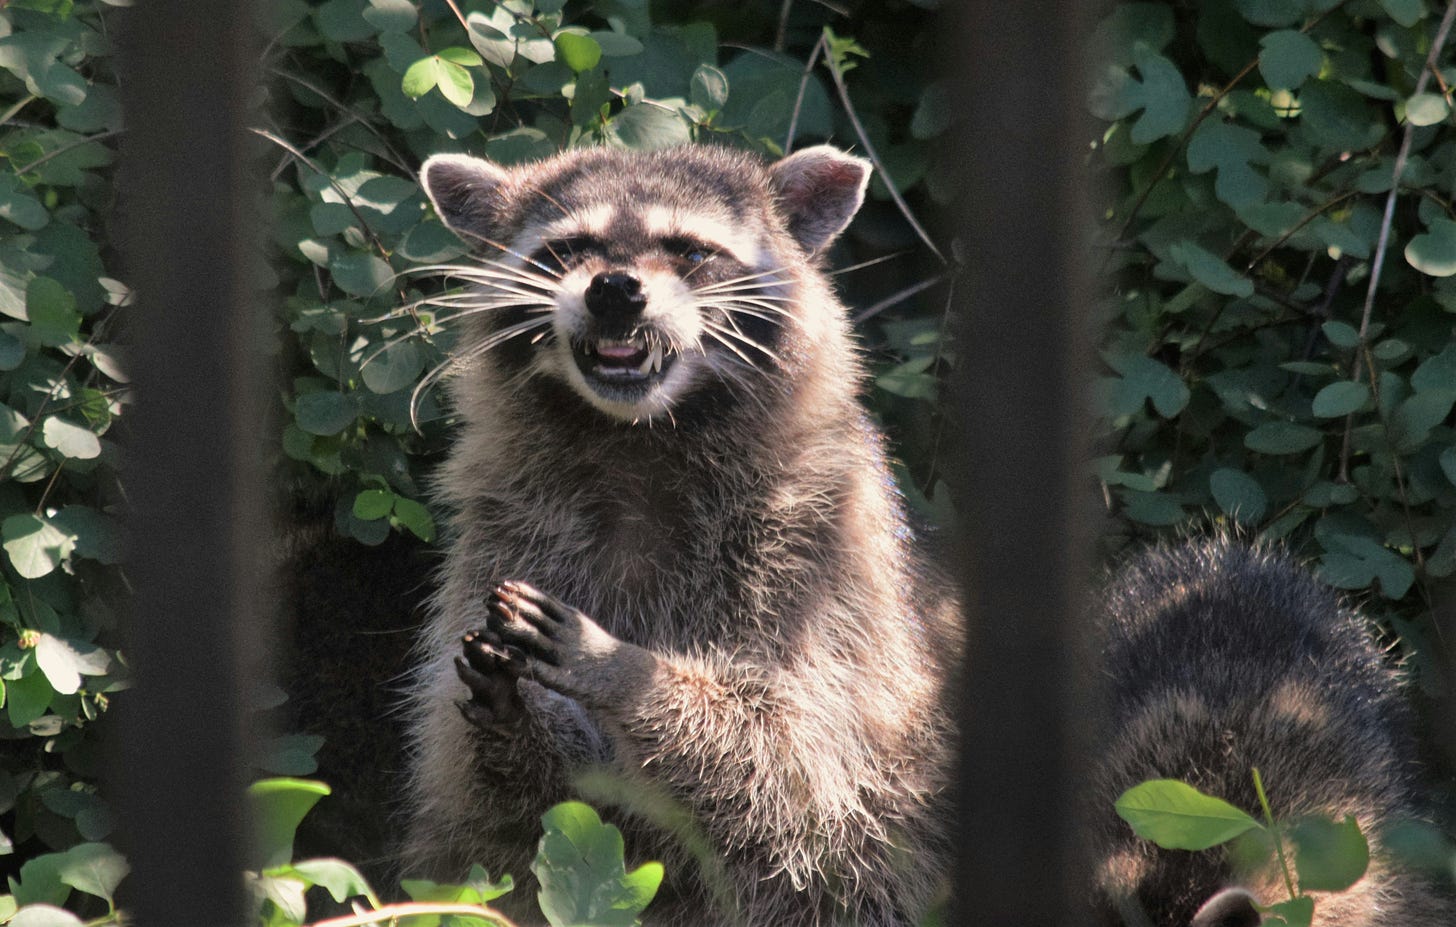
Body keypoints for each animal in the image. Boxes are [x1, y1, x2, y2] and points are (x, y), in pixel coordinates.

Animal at [400, 144, 961, 926]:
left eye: (690, 251)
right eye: (566, 250)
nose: (614, 290)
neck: (637, 436)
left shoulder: (821, 552)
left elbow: (796, 757)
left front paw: (626, 668)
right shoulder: (498, 528)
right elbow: (489, 797)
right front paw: (524, 724)